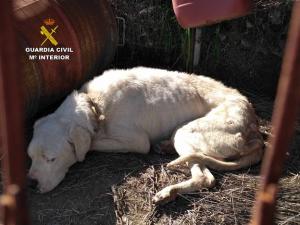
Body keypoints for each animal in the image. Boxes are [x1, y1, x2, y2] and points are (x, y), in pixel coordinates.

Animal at [28, 66, 262, 204]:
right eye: (30, 157)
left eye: (51, 159)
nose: (30, 184)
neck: (95, 104)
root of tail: (255, 127)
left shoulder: (137, 141)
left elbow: (93, 143)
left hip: (185, 133)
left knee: (205, 178)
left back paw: (167, 192)